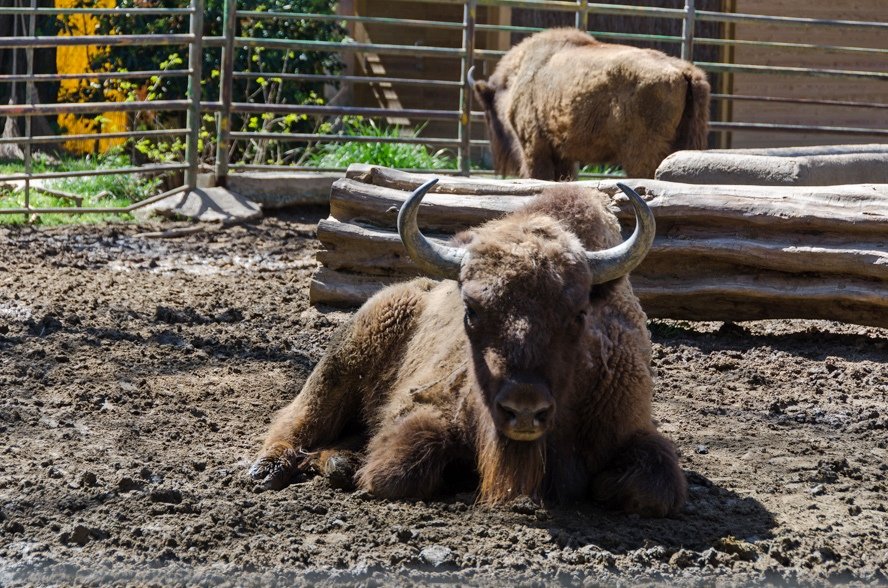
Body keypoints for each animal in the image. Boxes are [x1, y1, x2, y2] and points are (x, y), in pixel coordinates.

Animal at [250, 178, 688, 516]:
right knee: (296, 419)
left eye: (580, 313)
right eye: (471, 310)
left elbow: (651, 487)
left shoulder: (632, 425)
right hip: (341, 365)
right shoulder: (421, 410)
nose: (524, 409)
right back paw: (267, 471)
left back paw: (337, 463)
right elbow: (400, 467)